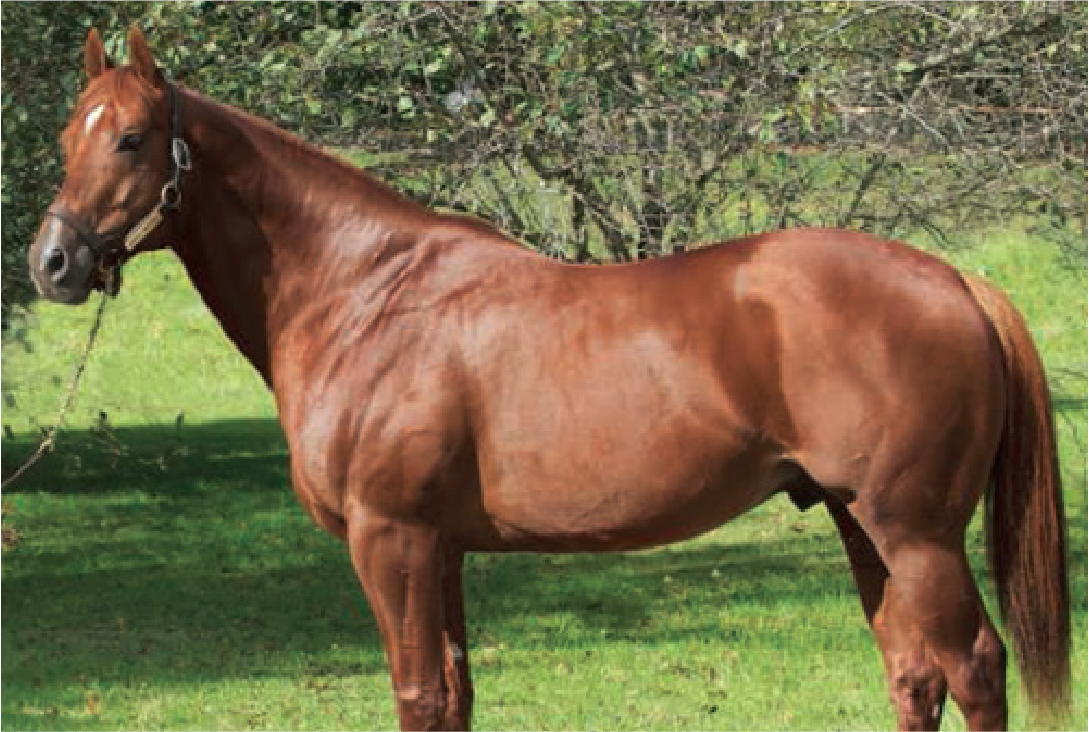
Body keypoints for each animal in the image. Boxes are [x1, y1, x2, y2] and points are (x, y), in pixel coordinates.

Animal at [28, 27, 1070, 732]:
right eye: (67, 139)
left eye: (130, 138)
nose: (52, 263)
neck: (365, 294)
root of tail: (955, 282)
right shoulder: (438, 548)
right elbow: (453, 693)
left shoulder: (390, 539)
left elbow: (417, 693)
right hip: (860, 523)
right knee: (914, 672)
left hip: (916, 533)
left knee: (973, 667)